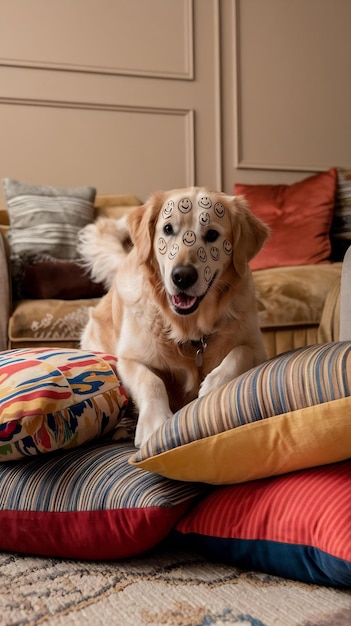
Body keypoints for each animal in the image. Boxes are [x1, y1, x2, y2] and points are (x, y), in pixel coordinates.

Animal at [79, 185, 270, 444]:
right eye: (168, 229)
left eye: (212, 234)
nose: (182, 276)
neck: (189, 328)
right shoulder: (128, 359)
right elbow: (151, 380)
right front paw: (154, 423)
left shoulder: (258, 348)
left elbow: (240, 353)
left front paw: (212, 386)